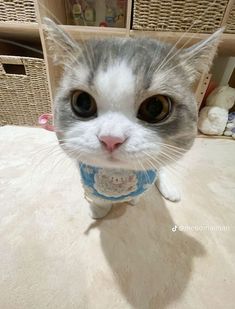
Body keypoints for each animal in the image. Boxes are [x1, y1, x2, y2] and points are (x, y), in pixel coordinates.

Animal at [44, 18, 222, 218]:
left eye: (155, 107)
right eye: (82, 102)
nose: (110, 139)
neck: (117, 175)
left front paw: (132, 201)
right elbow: (96, 197)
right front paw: (99, 208)